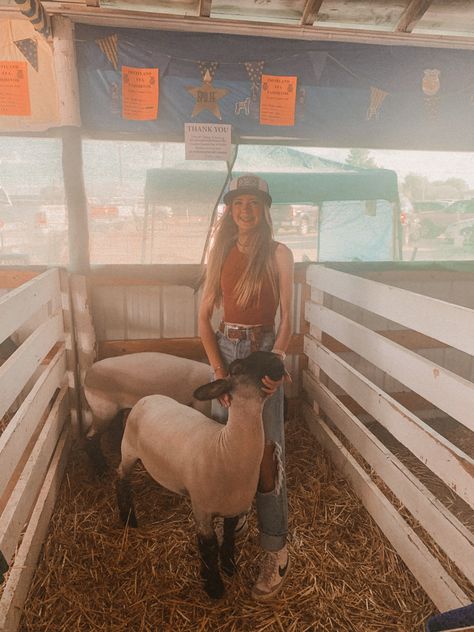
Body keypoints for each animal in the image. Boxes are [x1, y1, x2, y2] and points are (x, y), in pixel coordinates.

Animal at [82, 350, 211, 474]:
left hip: (112, 409)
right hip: (103, 410)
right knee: (91, 438)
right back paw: (101, 468)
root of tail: (88, 375)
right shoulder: (202, 405)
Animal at [115, 350, 286, 604]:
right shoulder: (202, 511)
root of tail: (147, 397)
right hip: (128, 450)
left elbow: (228, 538)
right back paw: (128, 519)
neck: (225, 448)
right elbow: (208, 547)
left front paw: (229, 567)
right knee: (121, 478)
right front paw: (214, 587)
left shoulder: (233, 508)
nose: (277, 359)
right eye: (236, 368)